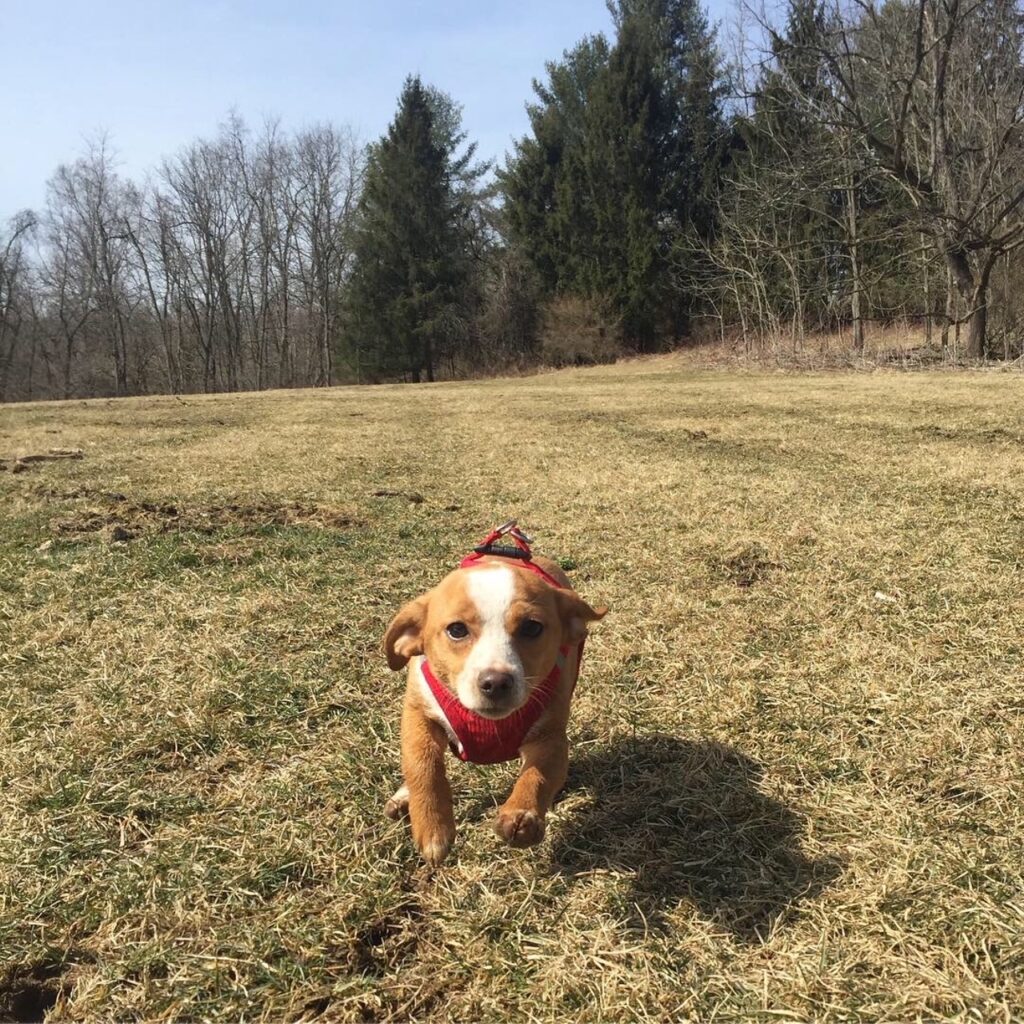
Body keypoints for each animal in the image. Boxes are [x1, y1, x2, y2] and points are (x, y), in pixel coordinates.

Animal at [385, 524, 606, 868]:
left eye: (532, 628)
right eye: (456, 630)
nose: (496, 682)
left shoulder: (551, 737)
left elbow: (538, 774)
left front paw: (521, 814)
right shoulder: (418, 713)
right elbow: (422, 764)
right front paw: (433, 827)